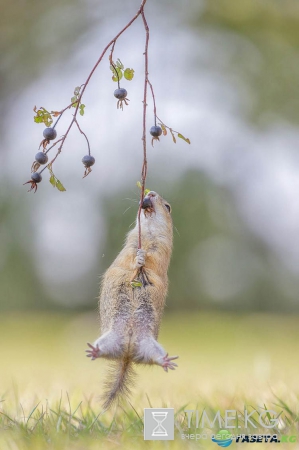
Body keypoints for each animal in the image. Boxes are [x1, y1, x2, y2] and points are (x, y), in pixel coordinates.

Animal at [86, 190, 180, 408]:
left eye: (168, 207)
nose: (150, 192)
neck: (147, 232)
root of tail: (127, 355)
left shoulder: (162, 248)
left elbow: (153, 259)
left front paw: (143, 258)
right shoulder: (129, 243)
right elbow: (128, 257)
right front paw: (138, 259)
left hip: (149, 345)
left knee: (153, 358)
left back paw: (165, 361)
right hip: (111, 339)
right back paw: (94, 351)